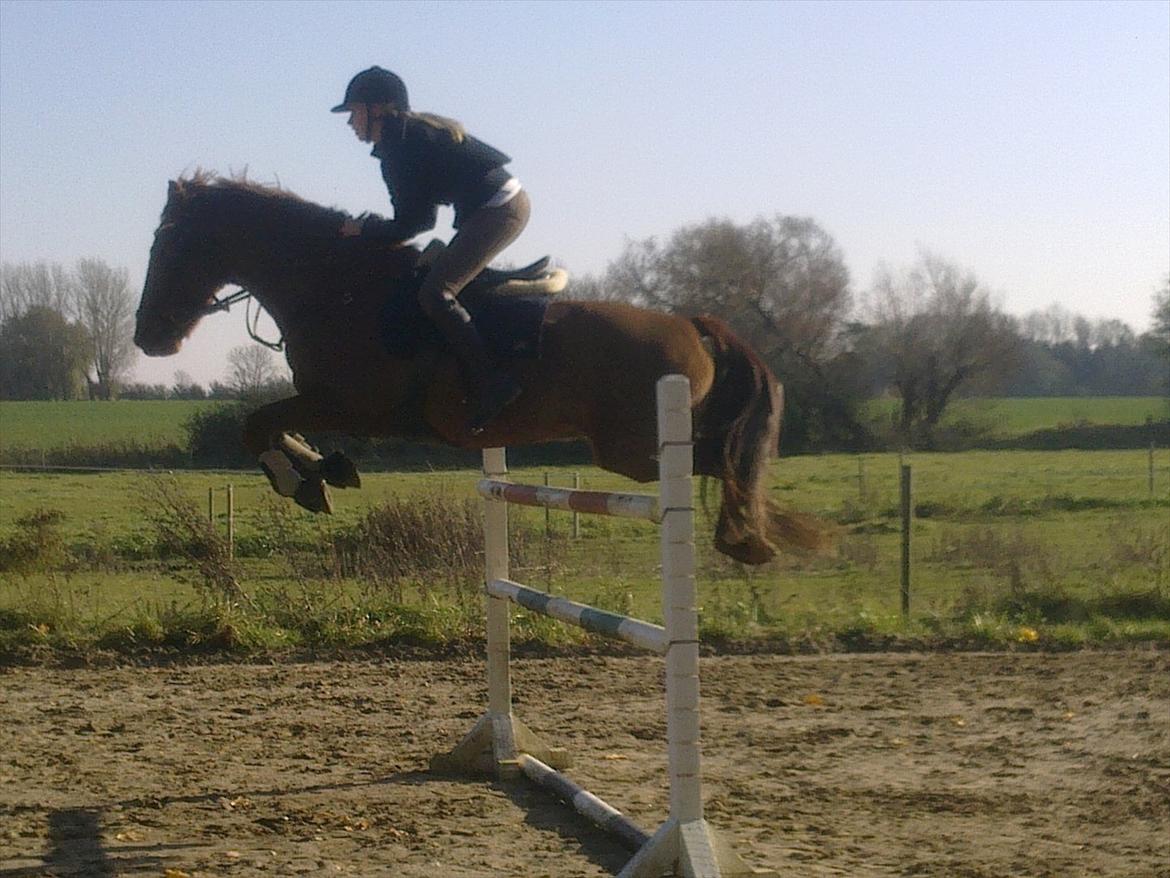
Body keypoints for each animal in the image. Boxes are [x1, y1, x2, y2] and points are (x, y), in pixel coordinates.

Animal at [133, 173, 826, 564]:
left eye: (168, 244)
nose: (147, 336)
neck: (336, 288)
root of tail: (690, 325)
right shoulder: (328, 403)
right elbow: (274, 425)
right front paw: (322, 471)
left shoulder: (352, 404)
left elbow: (257, 424)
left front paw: (304, 482)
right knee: (729, 461)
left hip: (634, 449)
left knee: (726, 463)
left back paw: (747, 539)